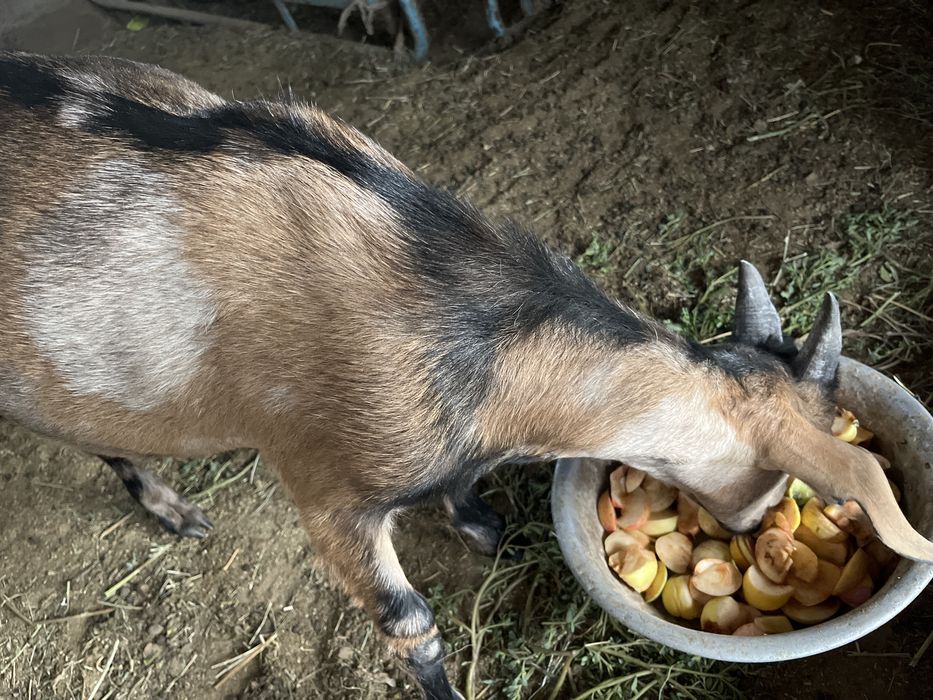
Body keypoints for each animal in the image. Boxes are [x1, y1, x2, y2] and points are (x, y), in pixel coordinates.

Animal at [1, 51, 931, 699]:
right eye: (780, 482)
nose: (755, 528)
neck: (463, 321)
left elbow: (463, 481)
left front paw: (485, 528)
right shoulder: (327, 484)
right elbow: (411, 626)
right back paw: (170, 509)